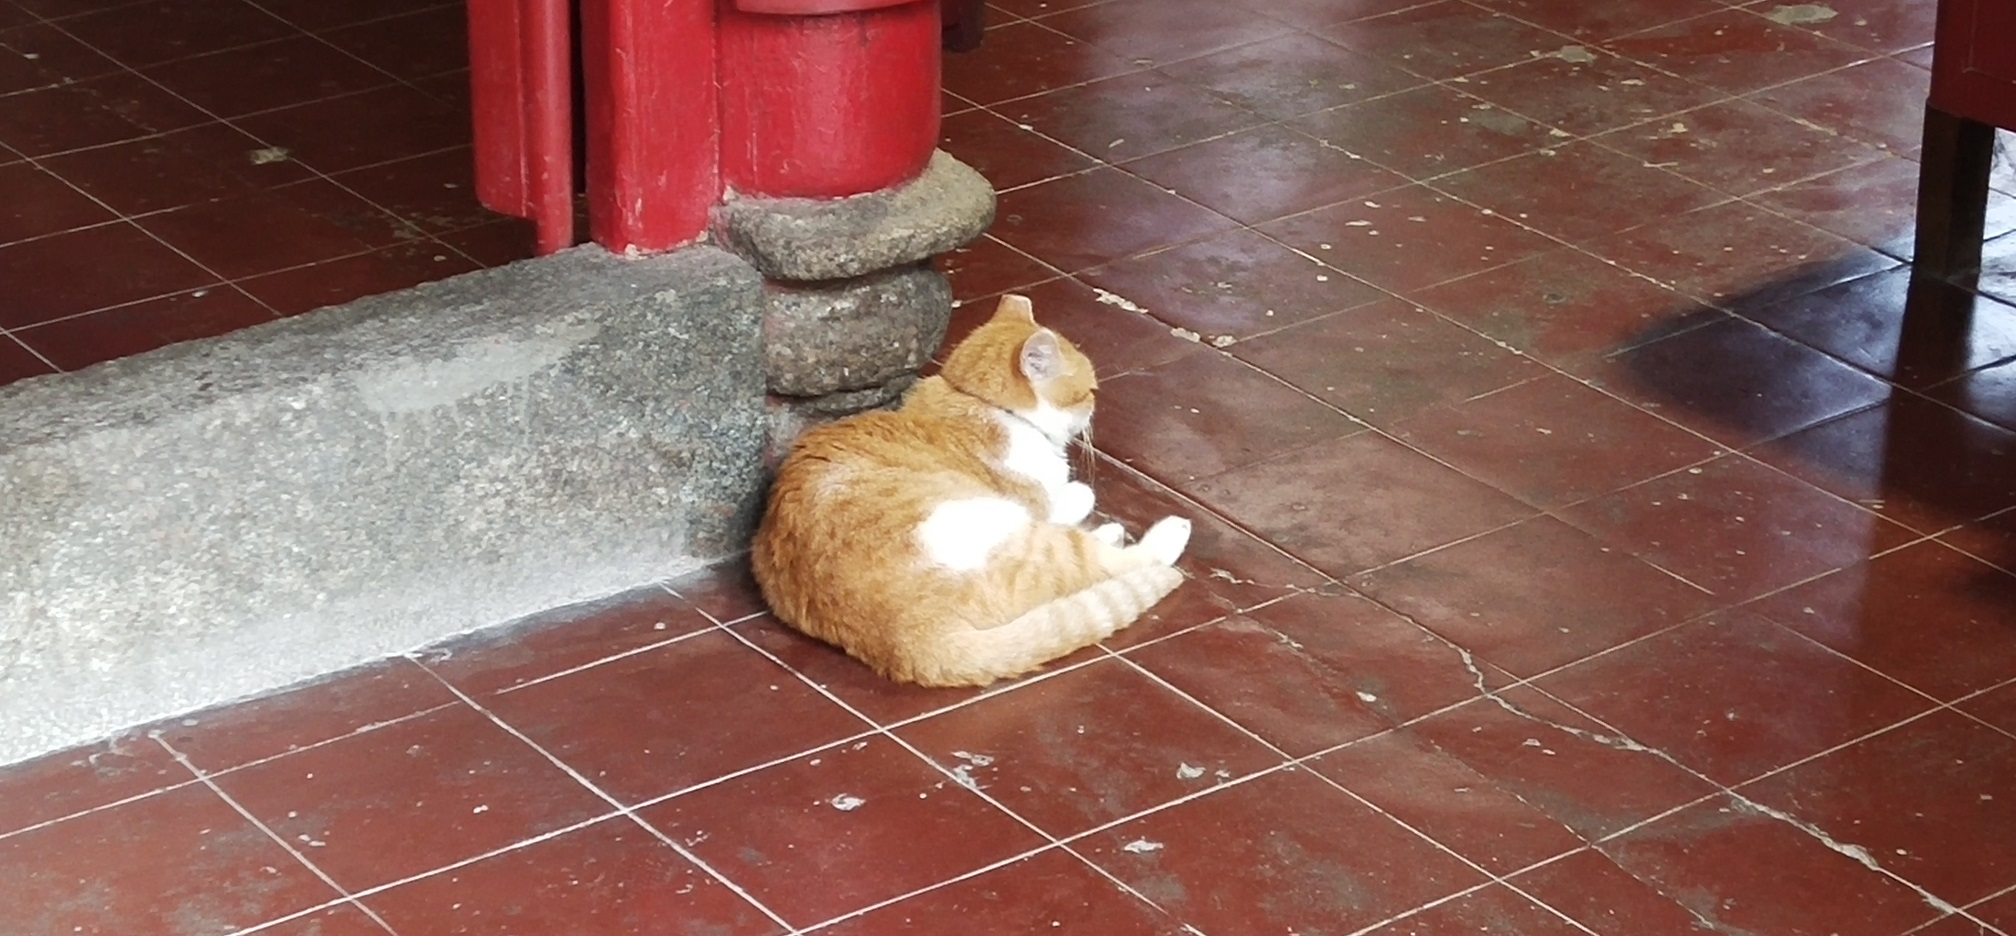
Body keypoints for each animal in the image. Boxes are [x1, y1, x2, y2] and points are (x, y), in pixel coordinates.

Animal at [749, 294, 1185, 685]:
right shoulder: (1035, 499)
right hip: (999, 525)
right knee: (1105, 564)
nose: (1096, 407)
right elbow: (1076, 495)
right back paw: (1156, 532)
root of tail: (908, 638)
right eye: (1089, 392)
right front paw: (1080, 493)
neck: (980, 403)